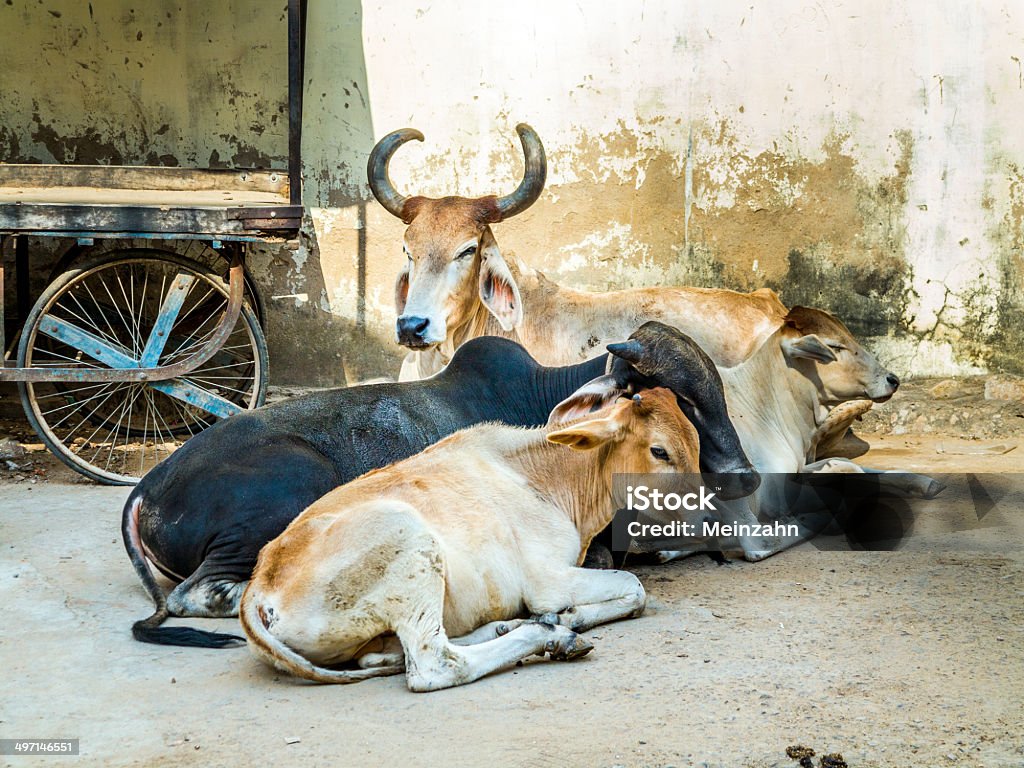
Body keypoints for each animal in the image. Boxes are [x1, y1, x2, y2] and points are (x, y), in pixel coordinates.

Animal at [242, 387, 700, 696]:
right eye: (659, 451)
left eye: (694, 443)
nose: (704, 513)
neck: (547, 478)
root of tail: (258, 586)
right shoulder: (547, 580)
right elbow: (635, 588)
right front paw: (569, 618)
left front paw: (567, 617)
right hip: (409, 540)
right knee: (434, 664)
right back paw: (548, 635)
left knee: (384, 654)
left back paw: (510, 625)